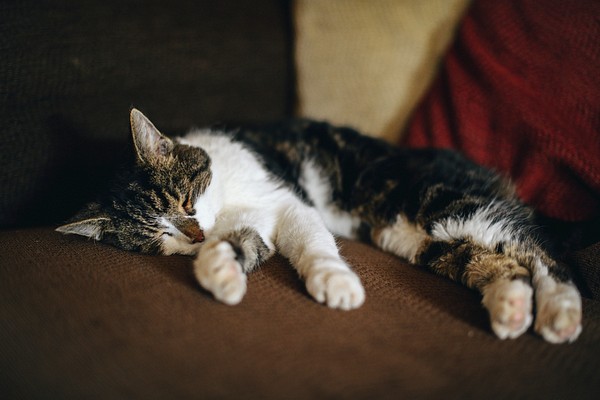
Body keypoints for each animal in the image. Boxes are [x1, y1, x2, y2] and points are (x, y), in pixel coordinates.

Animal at [56, 108, 580, 344]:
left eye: (185, 200)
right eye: (160, 236)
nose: (197, 236)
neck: (224, 198)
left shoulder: (288, 202)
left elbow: (312, 244)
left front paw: (335, 283)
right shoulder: (252, 223)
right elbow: (245, 244)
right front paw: (220, 272)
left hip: (449, 205)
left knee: (540, 252)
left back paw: (559, 314)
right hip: (416, 239)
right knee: (495, 262)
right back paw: (511, 307)